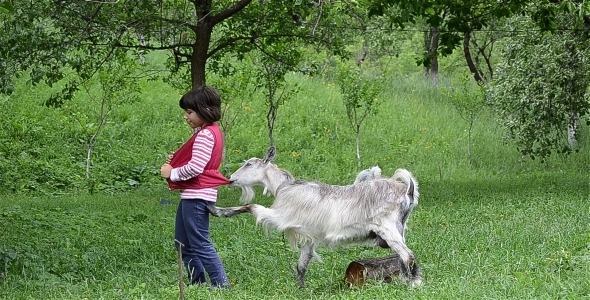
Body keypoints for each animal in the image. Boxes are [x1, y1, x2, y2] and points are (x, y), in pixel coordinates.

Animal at [210, 148, 424, 288]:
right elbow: (302, 265)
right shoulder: (308, 236)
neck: (284, 187)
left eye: (248, 164)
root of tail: (407, 190)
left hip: (387, 228)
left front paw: (219, 211)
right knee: (402, 256)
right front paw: (300, 288)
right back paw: (407, 281)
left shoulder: (281, 216)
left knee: (407, 255)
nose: (231, 179)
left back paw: (413, 284)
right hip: (399, 228)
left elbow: (252, 206)